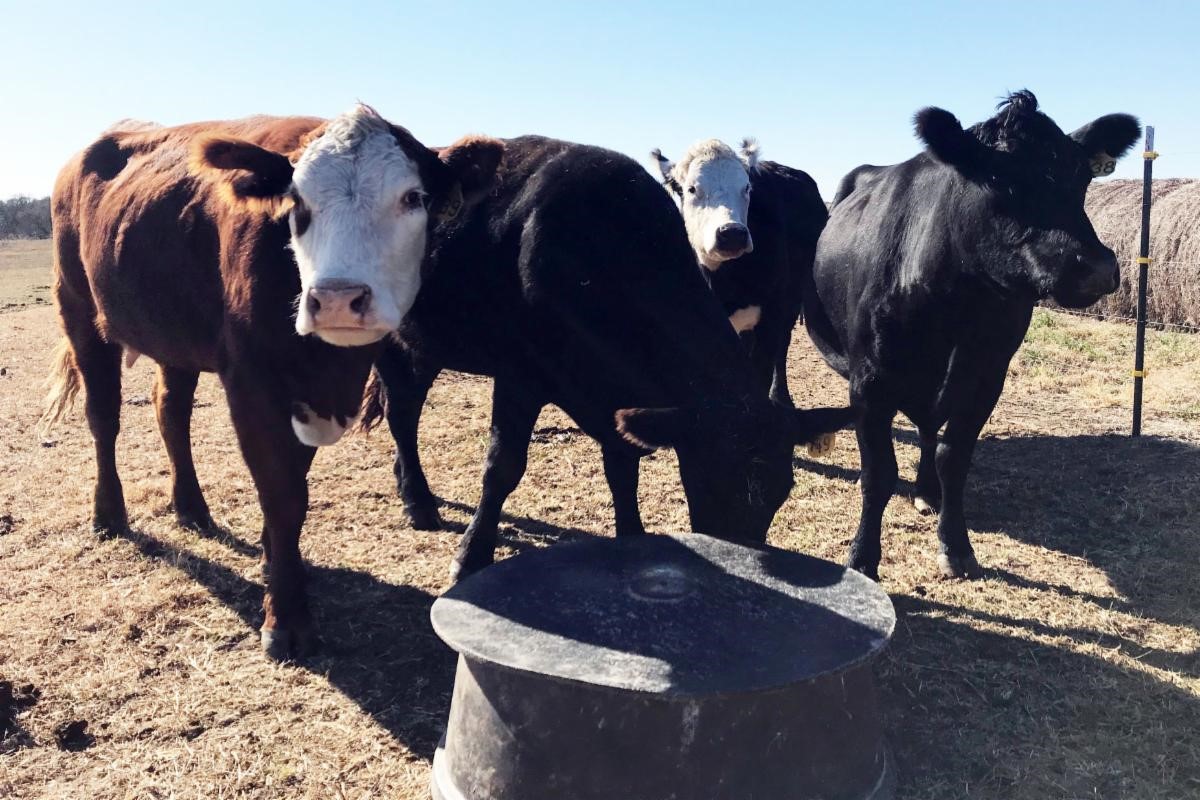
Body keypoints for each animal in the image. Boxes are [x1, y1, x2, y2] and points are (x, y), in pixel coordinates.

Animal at [41, 105, 505, 659]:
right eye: (296, 202)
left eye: (413, 197)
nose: (336, 299)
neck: (327, 364)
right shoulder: (252, 381)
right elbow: (281, 494)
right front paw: (285, 618)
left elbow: (293, 487)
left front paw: (273, 564)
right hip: (79, 311)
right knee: (104, 418)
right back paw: (109, 515)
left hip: (176, 335)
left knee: (170, 411)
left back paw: (191, 508)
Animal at [805, 90, 1140, 580]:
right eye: (1000, 179)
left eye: (1082, 178)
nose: (1095, 267)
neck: (955, 302)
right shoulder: (869, 379)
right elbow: (878, 472)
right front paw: (862, 558)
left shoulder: (986, 376)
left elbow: (954, 458)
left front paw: (956, 546)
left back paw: (927, 492)